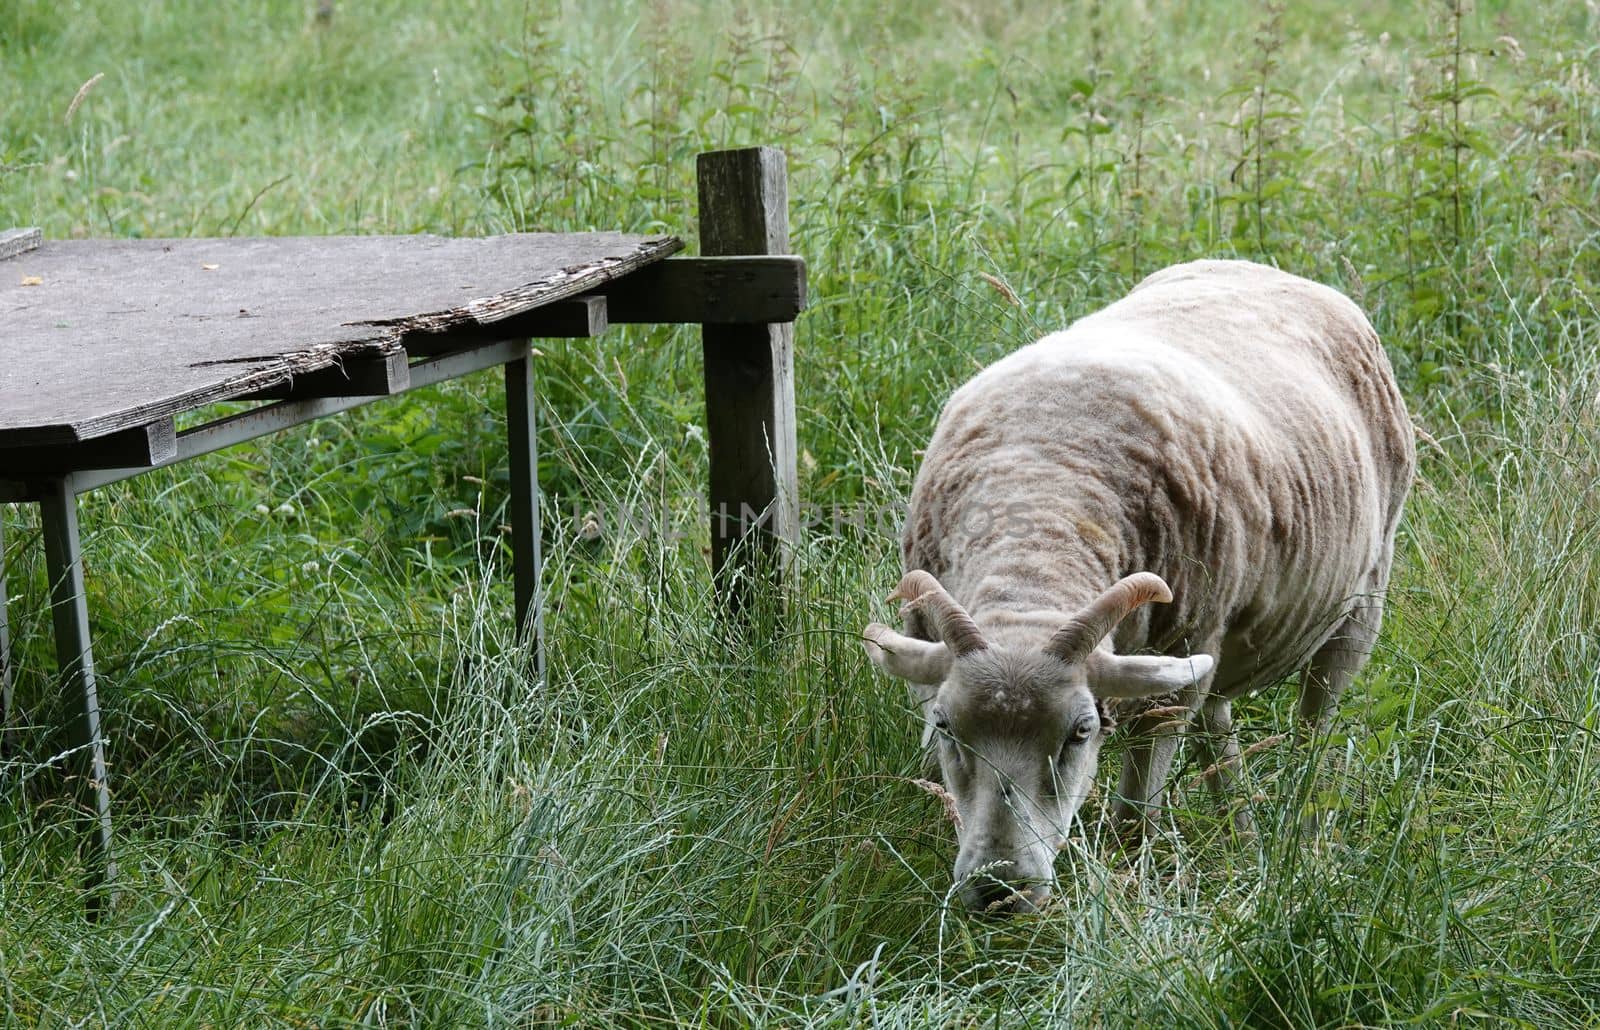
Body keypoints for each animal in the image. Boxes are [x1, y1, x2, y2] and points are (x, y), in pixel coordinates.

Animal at [864, 262, 1414, 914]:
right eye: (947, 728)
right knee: (1218, 726)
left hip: (1359, 599)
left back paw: (1303, 839)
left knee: (1316, 727)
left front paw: (1129, 879)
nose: (1000, 889)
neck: (1039, 514)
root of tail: (1263, 268)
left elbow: (1135, 816)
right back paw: (1241, 835)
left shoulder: (1164, 684)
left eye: (1081, 732)